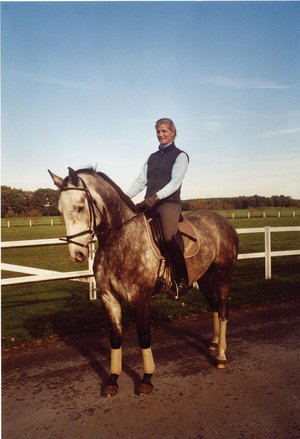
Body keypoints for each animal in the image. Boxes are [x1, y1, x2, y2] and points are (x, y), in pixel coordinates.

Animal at [49, 167, 239, 398]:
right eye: (60, 210)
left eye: (79, 206)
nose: (77, 254)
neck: (121, 239)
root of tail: (223, 221)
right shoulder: (109, 298)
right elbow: (116, 337)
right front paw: (112, 380)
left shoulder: (140, 298)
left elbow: (144, 336)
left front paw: (147, 379)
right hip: (205, 278)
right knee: (214, 306)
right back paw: (213, 343)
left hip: (222, 275)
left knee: (223, 310)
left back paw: (221, 355)